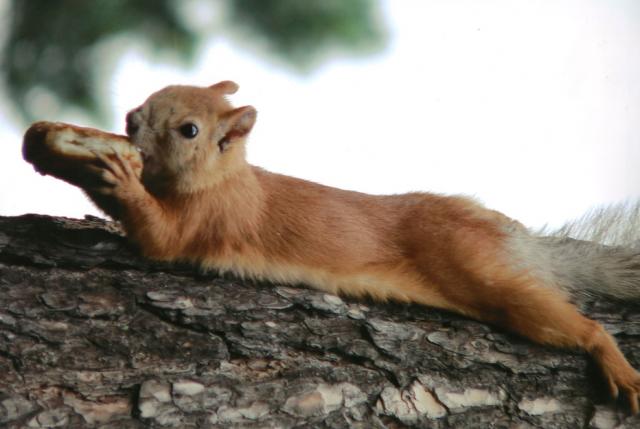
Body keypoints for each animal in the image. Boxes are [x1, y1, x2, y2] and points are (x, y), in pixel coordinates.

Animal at [87, 80, 640, 412]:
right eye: (160, 90)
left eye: (190, 130)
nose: (131, 119)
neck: (224, 178)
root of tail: (516, 238)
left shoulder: (212, 216)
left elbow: (161, 238)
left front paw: (118, 179)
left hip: (482, 271)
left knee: (572, 322)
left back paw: (614, 362)